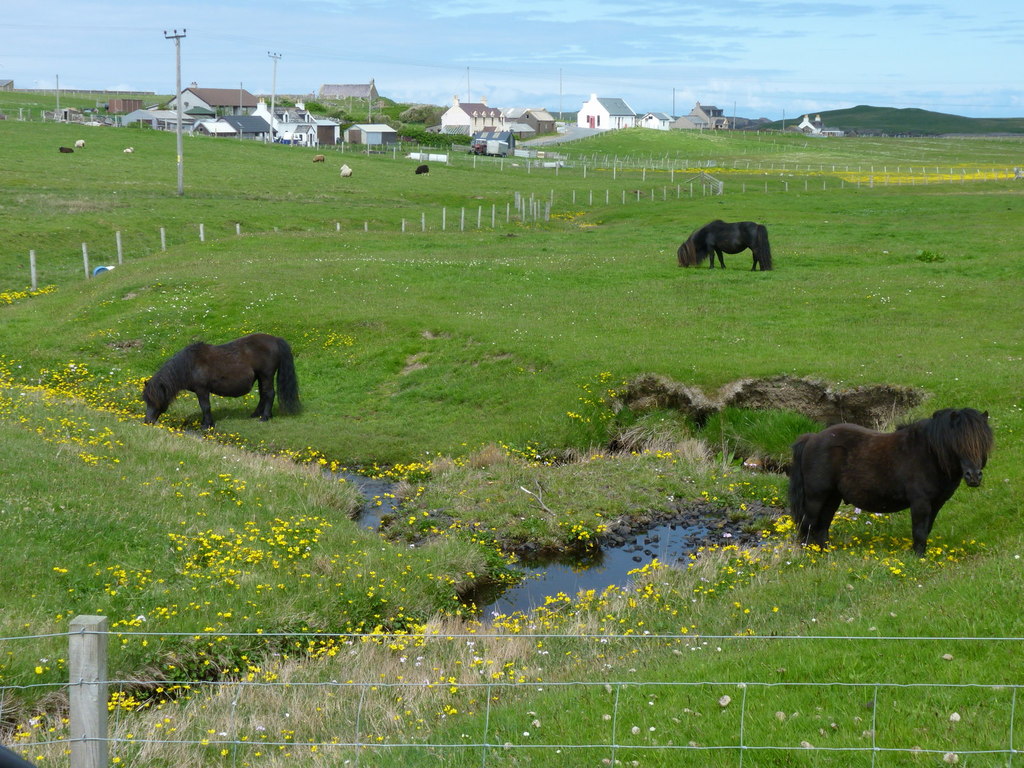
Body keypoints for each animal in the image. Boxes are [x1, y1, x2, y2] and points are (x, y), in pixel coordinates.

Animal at [142, 333, 299, 430]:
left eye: (155, 400)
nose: (147, 421)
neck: (190, 365)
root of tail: (275, 339)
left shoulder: (202, 390)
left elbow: (205, 406)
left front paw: (206, 425)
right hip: (261, 377)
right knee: (263, 395)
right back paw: (257, 414)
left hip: (266, 375)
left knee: (269, 394)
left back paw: (265, 417)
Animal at [782, 409, 991, 561]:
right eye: (958, 442)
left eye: (983, 442)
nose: (974, 476)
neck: (929, 454)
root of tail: (812, 438)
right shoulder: (920, 503)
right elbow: (919, 531)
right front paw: (918, 558)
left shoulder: (936, 504)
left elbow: (926, 530)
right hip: (816, 497)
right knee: (808, 525)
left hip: (832, 498)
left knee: (822, 526)